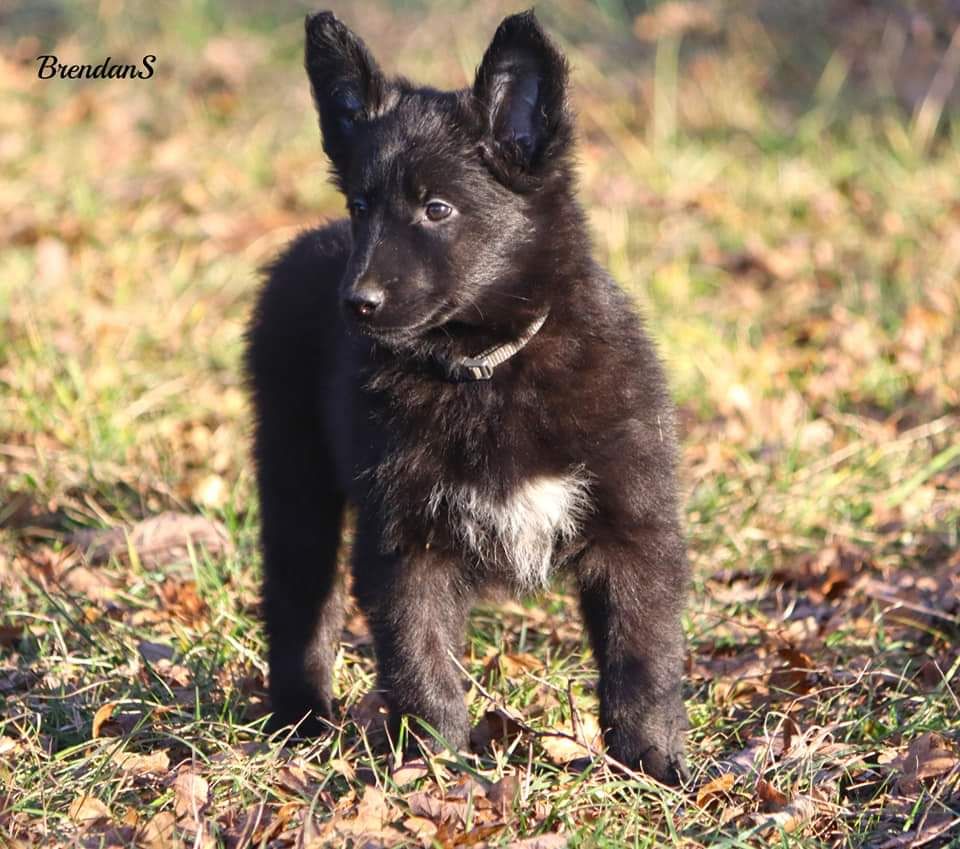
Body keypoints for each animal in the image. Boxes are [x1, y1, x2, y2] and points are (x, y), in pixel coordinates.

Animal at [244, 9, 688, 784]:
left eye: (437, 208)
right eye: (360, 205)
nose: (356, 303)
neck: (484, 370)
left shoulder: (634, 525)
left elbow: (642, 655)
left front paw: (652, 763)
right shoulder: (405, 542)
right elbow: (421, 662)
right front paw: (438, 769)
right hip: (293, 475)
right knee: (299, 598)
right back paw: (301, 722)